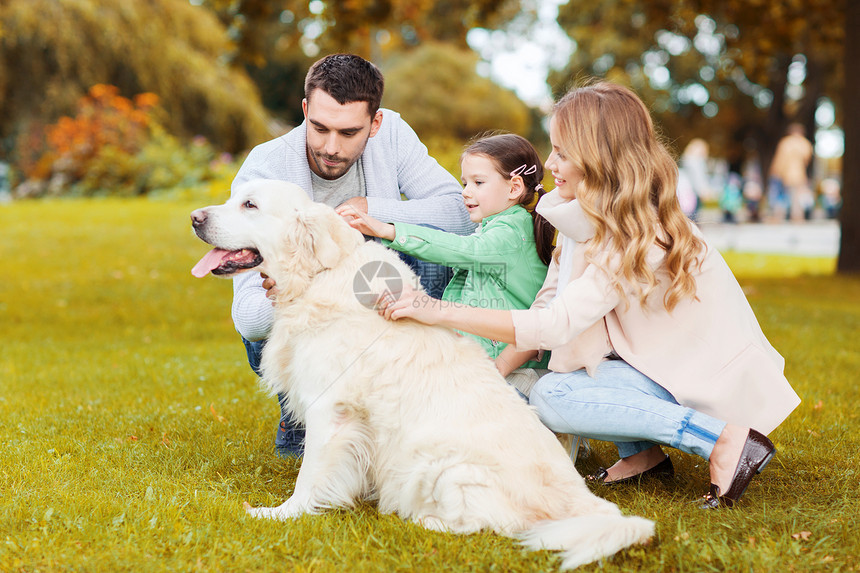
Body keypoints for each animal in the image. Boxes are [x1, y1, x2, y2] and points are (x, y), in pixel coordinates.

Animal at [191, 178, 656, 568]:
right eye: (234, 197)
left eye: (250, 205)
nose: (195, 217)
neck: (317, 277)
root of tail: (579, 499)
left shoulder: (330, 409)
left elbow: (310, 475)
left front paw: (281, 513)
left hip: (439, 464)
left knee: (488, 526)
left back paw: (418, 519)